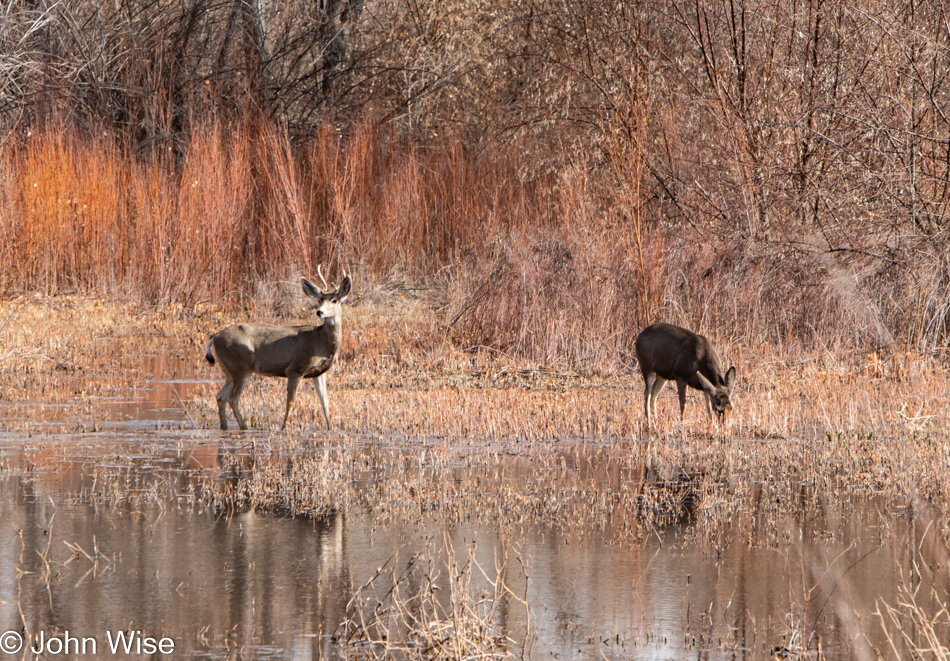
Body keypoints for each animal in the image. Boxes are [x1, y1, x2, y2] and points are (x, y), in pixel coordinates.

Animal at [205, 270, 354, 430]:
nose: (319, 312)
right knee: (233, 398)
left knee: (221, 396)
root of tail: (214, 337)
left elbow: (325, 401)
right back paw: (244, 427)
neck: (320, 342)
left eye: (334, 300)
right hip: (241, 367)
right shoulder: (296, 368)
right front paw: (283, 428)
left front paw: (330, 428)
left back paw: (225, 427)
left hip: (229, 371)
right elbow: (291, 402)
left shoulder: (319, 372)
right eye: (320, 299)